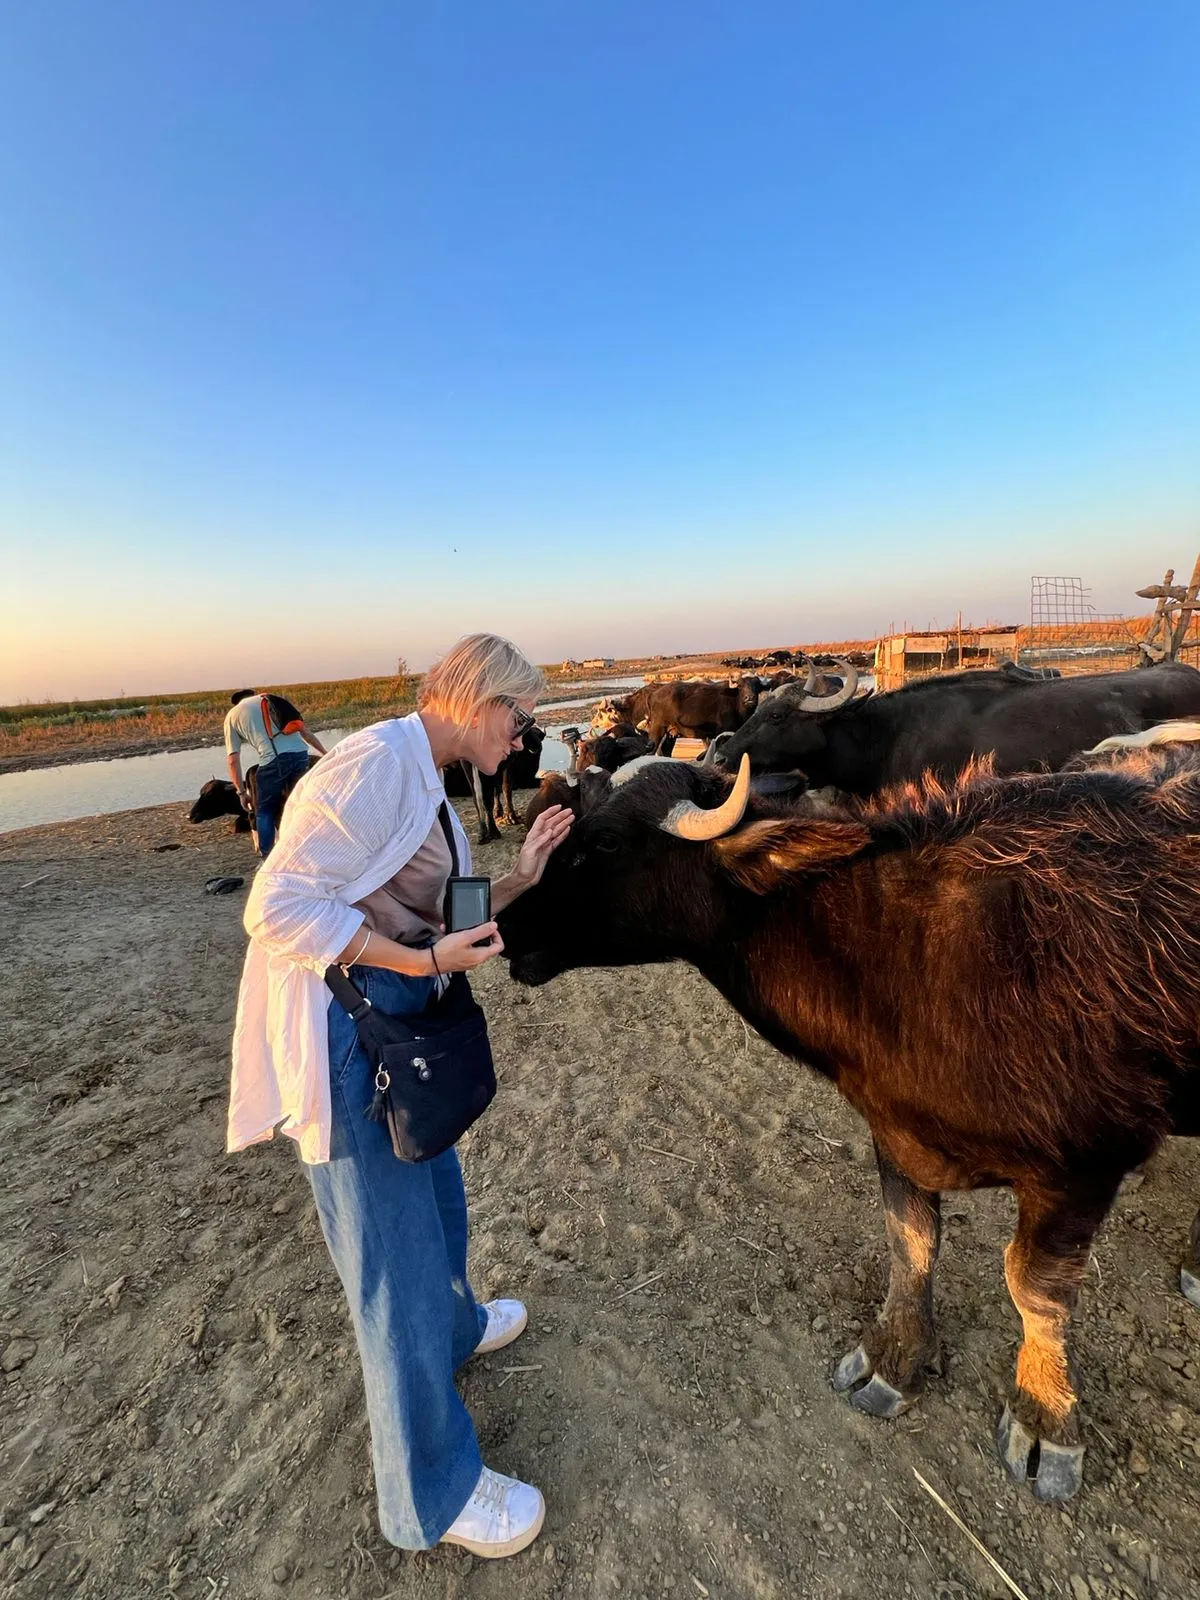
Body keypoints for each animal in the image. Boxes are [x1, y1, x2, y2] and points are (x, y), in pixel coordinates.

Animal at [499, 749, 1200, 1501]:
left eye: (603, 843)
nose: (504, 926)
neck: (912, 959)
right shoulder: (894, 1129)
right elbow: (911, 1242)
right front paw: (893, 1361)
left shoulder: (1084, 1167)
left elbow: (1036, 1291)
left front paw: (1044, 1416)